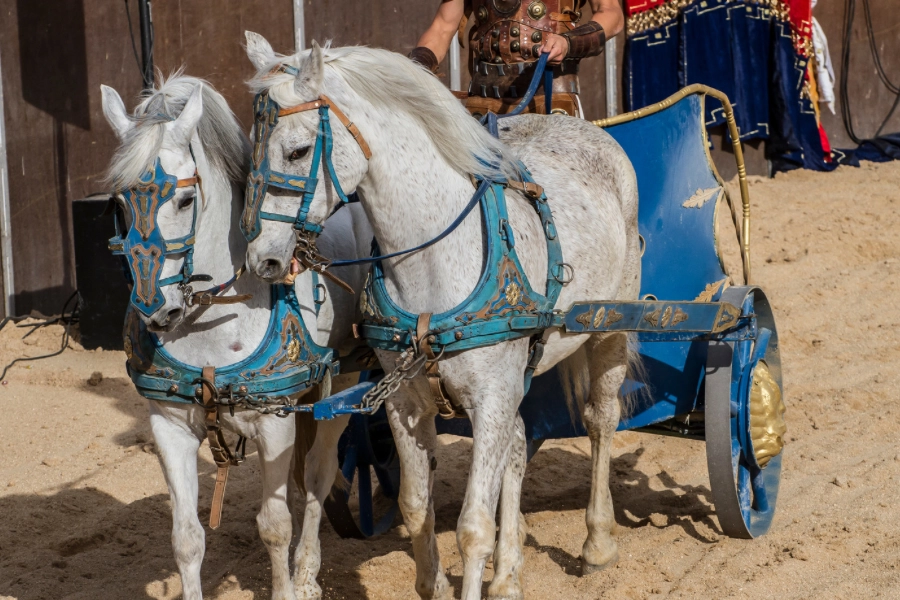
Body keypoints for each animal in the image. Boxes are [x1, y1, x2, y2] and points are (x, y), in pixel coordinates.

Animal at [103, 75, 370, 600]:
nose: (155, 310)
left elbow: (275, 526)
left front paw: (288, 585)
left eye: (185, 200)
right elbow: (186, 538)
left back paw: (307, 573)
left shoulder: (276, 422)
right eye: (121, 203)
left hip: (344, 382)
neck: (211, 319)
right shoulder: (168, 425)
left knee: (319, 476)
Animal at [243, 36, 644, 600]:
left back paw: (597, 542)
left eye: (298, 151)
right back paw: (508, 573)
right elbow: (416, 506)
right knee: (518, 444)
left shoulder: (491, 395)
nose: (263, 260)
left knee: (601, 420)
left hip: (610, 328)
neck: (433, 260)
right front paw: (436, 581)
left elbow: (473, 526)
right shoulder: (405, 400)